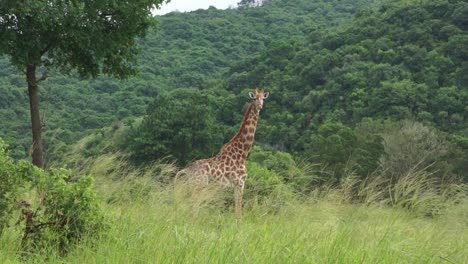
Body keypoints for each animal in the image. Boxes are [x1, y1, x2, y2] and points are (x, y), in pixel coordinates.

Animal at [176, 87, 270, 218]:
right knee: (193, 208)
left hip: (191, 187)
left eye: (263, 98)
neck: (242, 153)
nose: (259, 106)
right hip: (198, 186)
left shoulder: (234, 186)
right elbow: (238, 211)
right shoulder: (240, 183)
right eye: (254, 98)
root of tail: (186, 170)